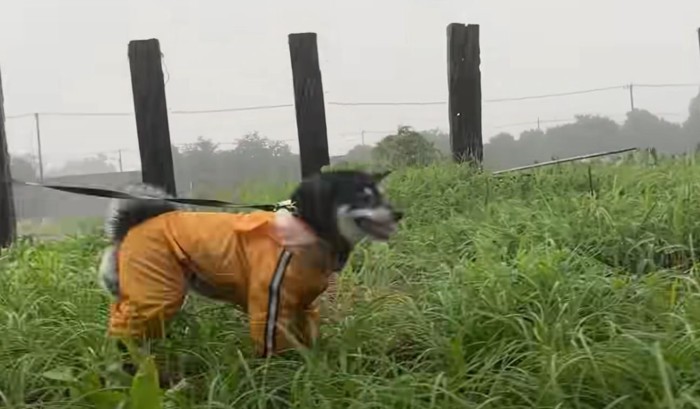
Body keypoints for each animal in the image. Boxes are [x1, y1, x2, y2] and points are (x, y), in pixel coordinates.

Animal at [99, 168, 404, 382]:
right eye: (363, 197)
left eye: (383, 195)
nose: (398, 213)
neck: (306, 231)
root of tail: (133, 223)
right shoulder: (269, 306)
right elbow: (272, 352)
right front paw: (277, 380)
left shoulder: (305, 306)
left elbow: (310, 342)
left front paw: (314, 366)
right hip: (157, 296)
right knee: (125, 335)